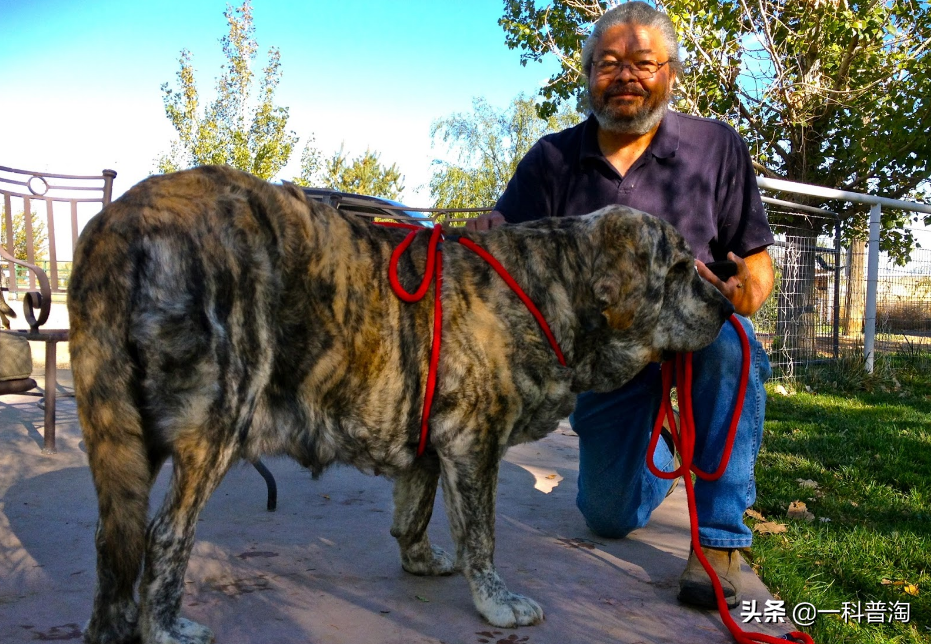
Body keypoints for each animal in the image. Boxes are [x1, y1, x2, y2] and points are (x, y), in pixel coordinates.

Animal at [67, 166, 736, 644]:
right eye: (680, 267)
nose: (729, 303)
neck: (550, 287)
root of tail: (119, 219)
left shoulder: (430, 445)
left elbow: (415, 511)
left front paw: (419, 560)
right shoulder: (473, 443)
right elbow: (481, 535)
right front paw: (497, 601)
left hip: (126, 432)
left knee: (112, 536)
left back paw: (112, 624)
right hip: (218, 419)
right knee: (164, 535)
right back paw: (164, 628)